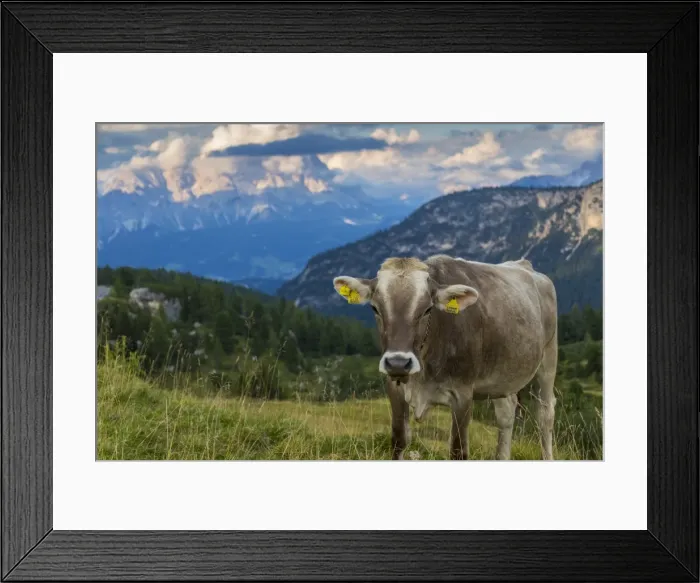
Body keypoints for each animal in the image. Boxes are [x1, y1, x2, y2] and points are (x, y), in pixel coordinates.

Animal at [333, 254, 557, 460]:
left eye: (427, 309)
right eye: (375, 308)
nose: (398, 363)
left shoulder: (462, 394)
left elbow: (458, 450)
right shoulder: (394, 388)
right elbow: (399, 441)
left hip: (548, 357)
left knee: (545, 415)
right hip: (503, 376)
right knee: (506, 414)